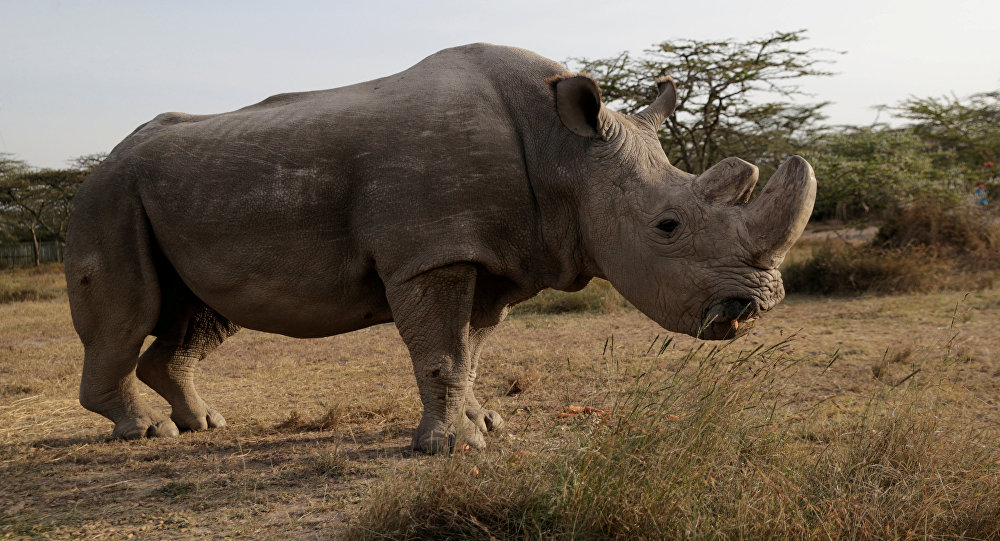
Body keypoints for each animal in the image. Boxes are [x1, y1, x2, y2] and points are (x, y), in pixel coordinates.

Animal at [64, 44, 812, 454]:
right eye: (667, 226)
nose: (757, 305)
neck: (565, 152)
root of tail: (102, 161)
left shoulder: (494, 255)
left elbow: (469, 351)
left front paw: (487, 423)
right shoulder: (431, 254)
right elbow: (442, 353)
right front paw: (451, 448)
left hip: (171, 196)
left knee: (198, 315)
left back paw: (204, 424)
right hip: (108, 197)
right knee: (130, 310)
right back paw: (147, 432)